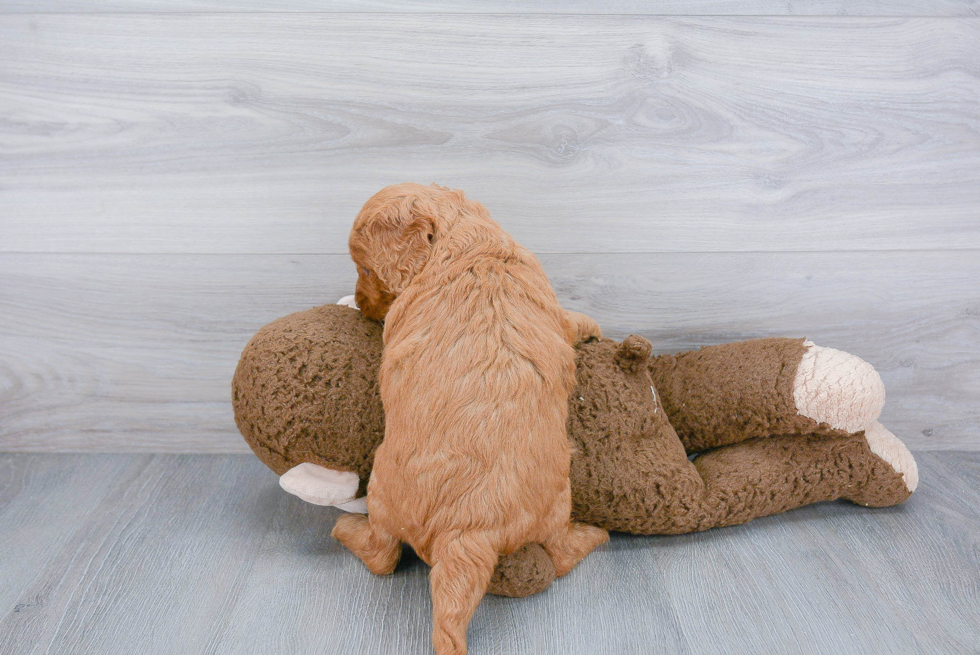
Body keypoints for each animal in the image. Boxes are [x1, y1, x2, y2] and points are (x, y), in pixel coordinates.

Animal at [338, 182, 612, 652]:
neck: (465, 238)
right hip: (552, 500)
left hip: (385, 492)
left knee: (383, 555)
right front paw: (591, 325)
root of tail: (468, 528)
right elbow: (570, 321)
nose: (361, 305)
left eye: (367, 270)